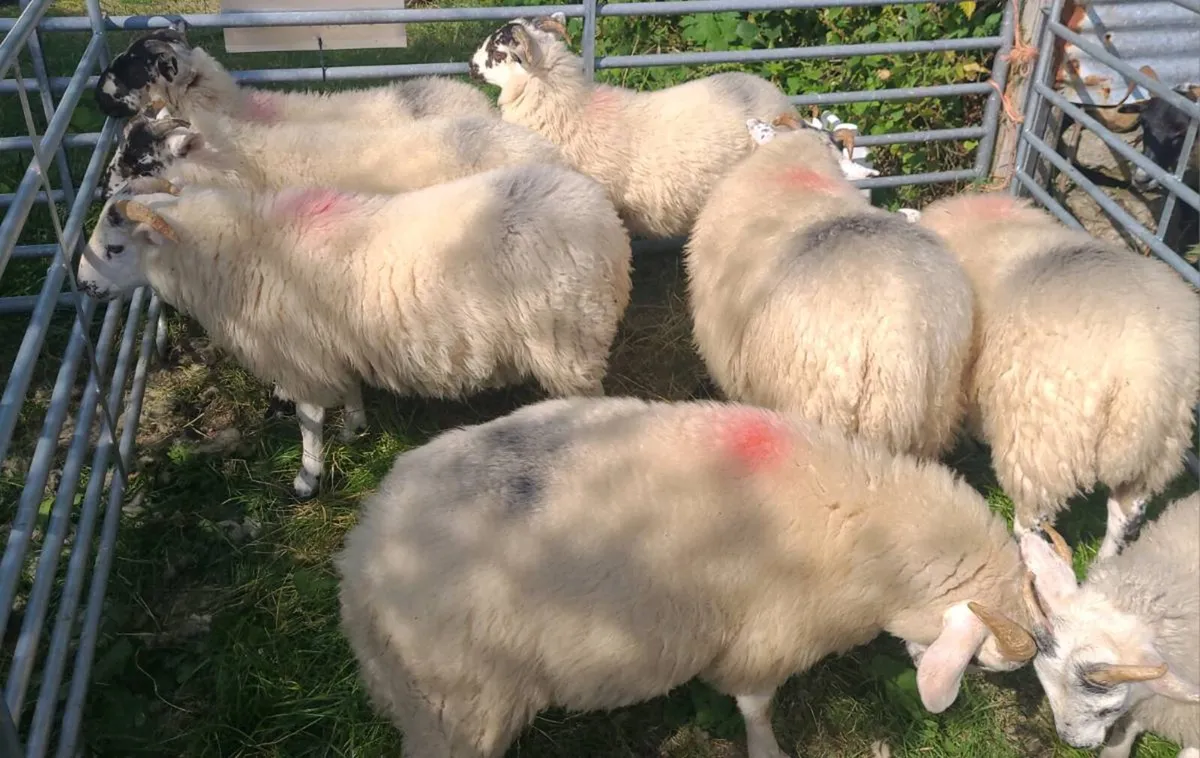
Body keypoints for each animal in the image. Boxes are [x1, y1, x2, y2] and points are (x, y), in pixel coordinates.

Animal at [75, 168, 632, 499]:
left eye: (116, 247)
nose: (82, 284)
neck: (237, 247)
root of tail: (603, 218)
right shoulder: (332, 342)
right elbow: (347, 390)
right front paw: (355, 428)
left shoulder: (297, 352)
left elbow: (308, 419)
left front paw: (307, 476)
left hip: (568, 342)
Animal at [334, 395, 1041, 758]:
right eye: (984, 661)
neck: (868, 525)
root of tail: (360, 561)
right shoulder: (764, 641)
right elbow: (757, 708)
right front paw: (767, 751)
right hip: (460, 704)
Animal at [917, 191, 1200, 560]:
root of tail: (1144, 364)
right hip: (1158, 446)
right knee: (1126, 514)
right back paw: (1103, 562)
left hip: (1042, 444)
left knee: (1032, 523)